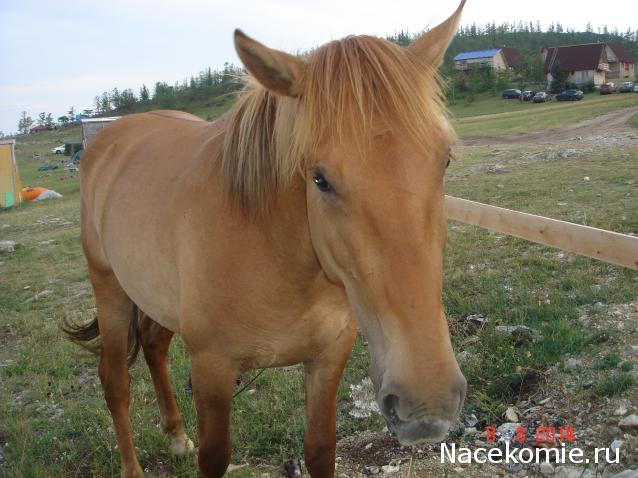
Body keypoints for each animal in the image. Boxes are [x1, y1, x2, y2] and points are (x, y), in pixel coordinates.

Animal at [66, 1, 470, 476]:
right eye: (319, 178)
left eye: (445, 159)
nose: (427, 403)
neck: (274, 255)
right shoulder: (212, 369)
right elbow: (214, 457)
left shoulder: (329, 356)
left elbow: (320, 449)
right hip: (108, 287)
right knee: (116, 383)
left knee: (152, 346)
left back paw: (177, 436)